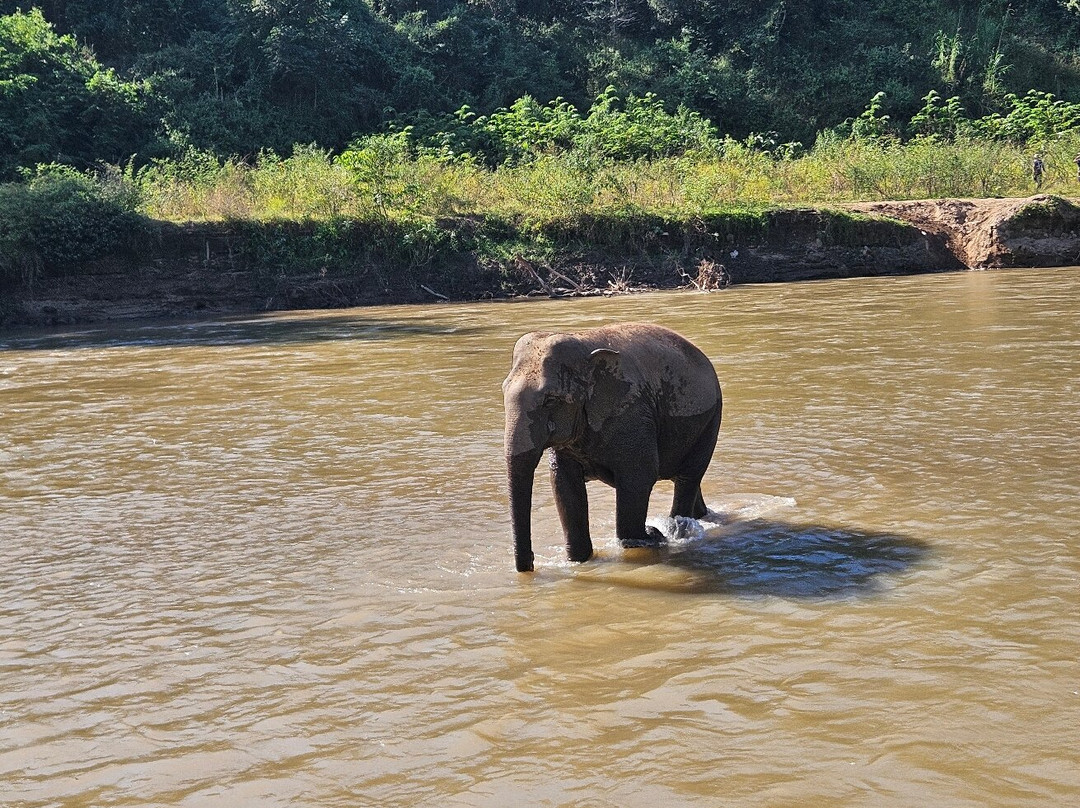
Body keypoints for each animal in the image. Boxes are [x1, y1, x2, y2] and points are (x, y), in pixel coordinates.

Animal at [502, 323, 722, 572]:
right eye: (503, 390)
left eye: (550, 400)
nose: (531, 563)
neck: (583, 347)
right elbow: (564, 485)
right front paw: (579, 560)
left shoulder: (632, 414)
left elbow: (639, 477)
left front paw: (652, 535)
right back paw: (702, 518)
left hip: (710, 421)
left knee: (688, 477)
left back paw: (676, 530)